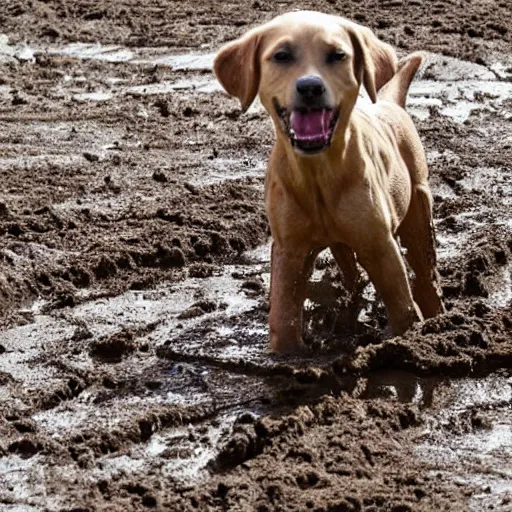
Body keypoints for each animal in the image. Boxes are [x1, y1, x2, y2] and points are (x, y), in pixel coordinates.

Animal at [213, 11, 444, 352]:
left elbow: (403, 309)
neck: (318, 175)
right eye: (281, 56)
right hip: (341, 242)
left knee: (427, 277)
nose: (310, 86)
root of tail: (390, 105)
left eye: (337, 55)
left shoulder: (380, 246)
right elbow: (283, 318)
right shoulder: (289, 250)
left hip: (417, 211)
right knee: (352, 276)